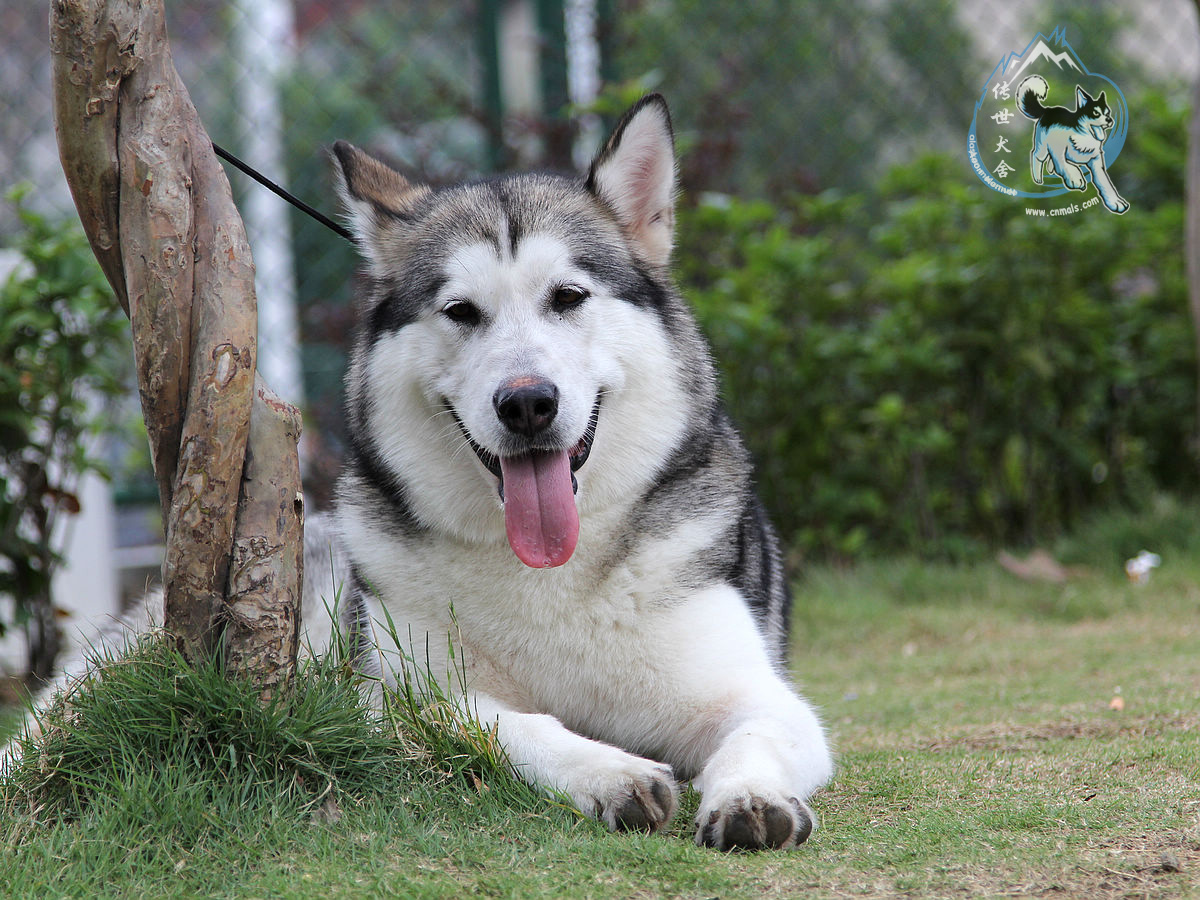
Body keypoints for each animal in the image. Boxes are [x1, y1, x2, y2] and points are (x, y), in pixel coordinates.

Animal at [2, 98, 835, 854]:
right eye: (461, 311)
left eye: (567, 298)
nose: (527, 403)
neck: (548, 575)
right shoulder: (397, 698)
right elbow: (509, 723)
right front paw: (609, 772)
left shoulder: (763, 697)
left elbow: (757, 734)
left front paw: (751, 797)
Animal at [1017, 75, 1128, 213]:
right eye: (1096, 113)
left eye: (1107, 113)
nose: (1109, 120)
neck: (1084, 137)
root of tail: (1048, 109)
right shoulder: (1058, 150)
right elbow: (1065, 165)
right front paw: (1075, 178)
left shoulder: (1096, 160)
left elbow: (1104, 181)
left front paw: (1115, 202)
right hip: (1042, 147)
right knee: (1036, 156)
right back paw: (1038, 178)